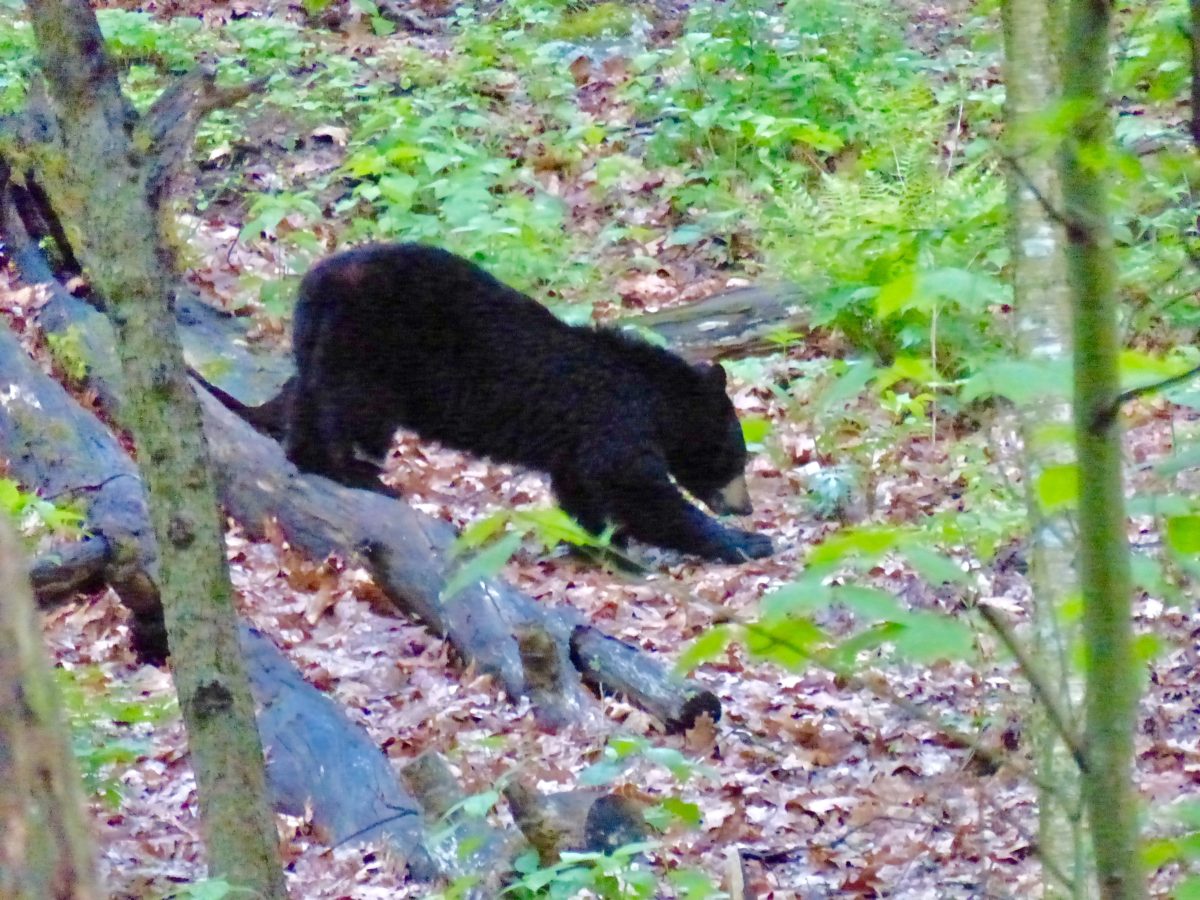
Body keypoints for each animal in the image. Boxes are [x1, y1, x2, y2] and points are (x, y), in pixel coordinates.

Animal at [280, 241, 772, 564]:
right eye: (737, 456)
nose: (746, 506)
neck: (654, 396)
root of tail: (317, 281)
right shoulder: (615, 419)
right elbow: (634, 486)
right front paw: (746, 542)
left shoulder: (579, 443)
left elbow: (581, 488)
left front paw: (603, 541)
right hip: (368, 348)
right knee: (353, 409)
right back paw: (359, 473)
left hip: (321, 342)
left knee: (308, 394)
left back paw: (307, 455)